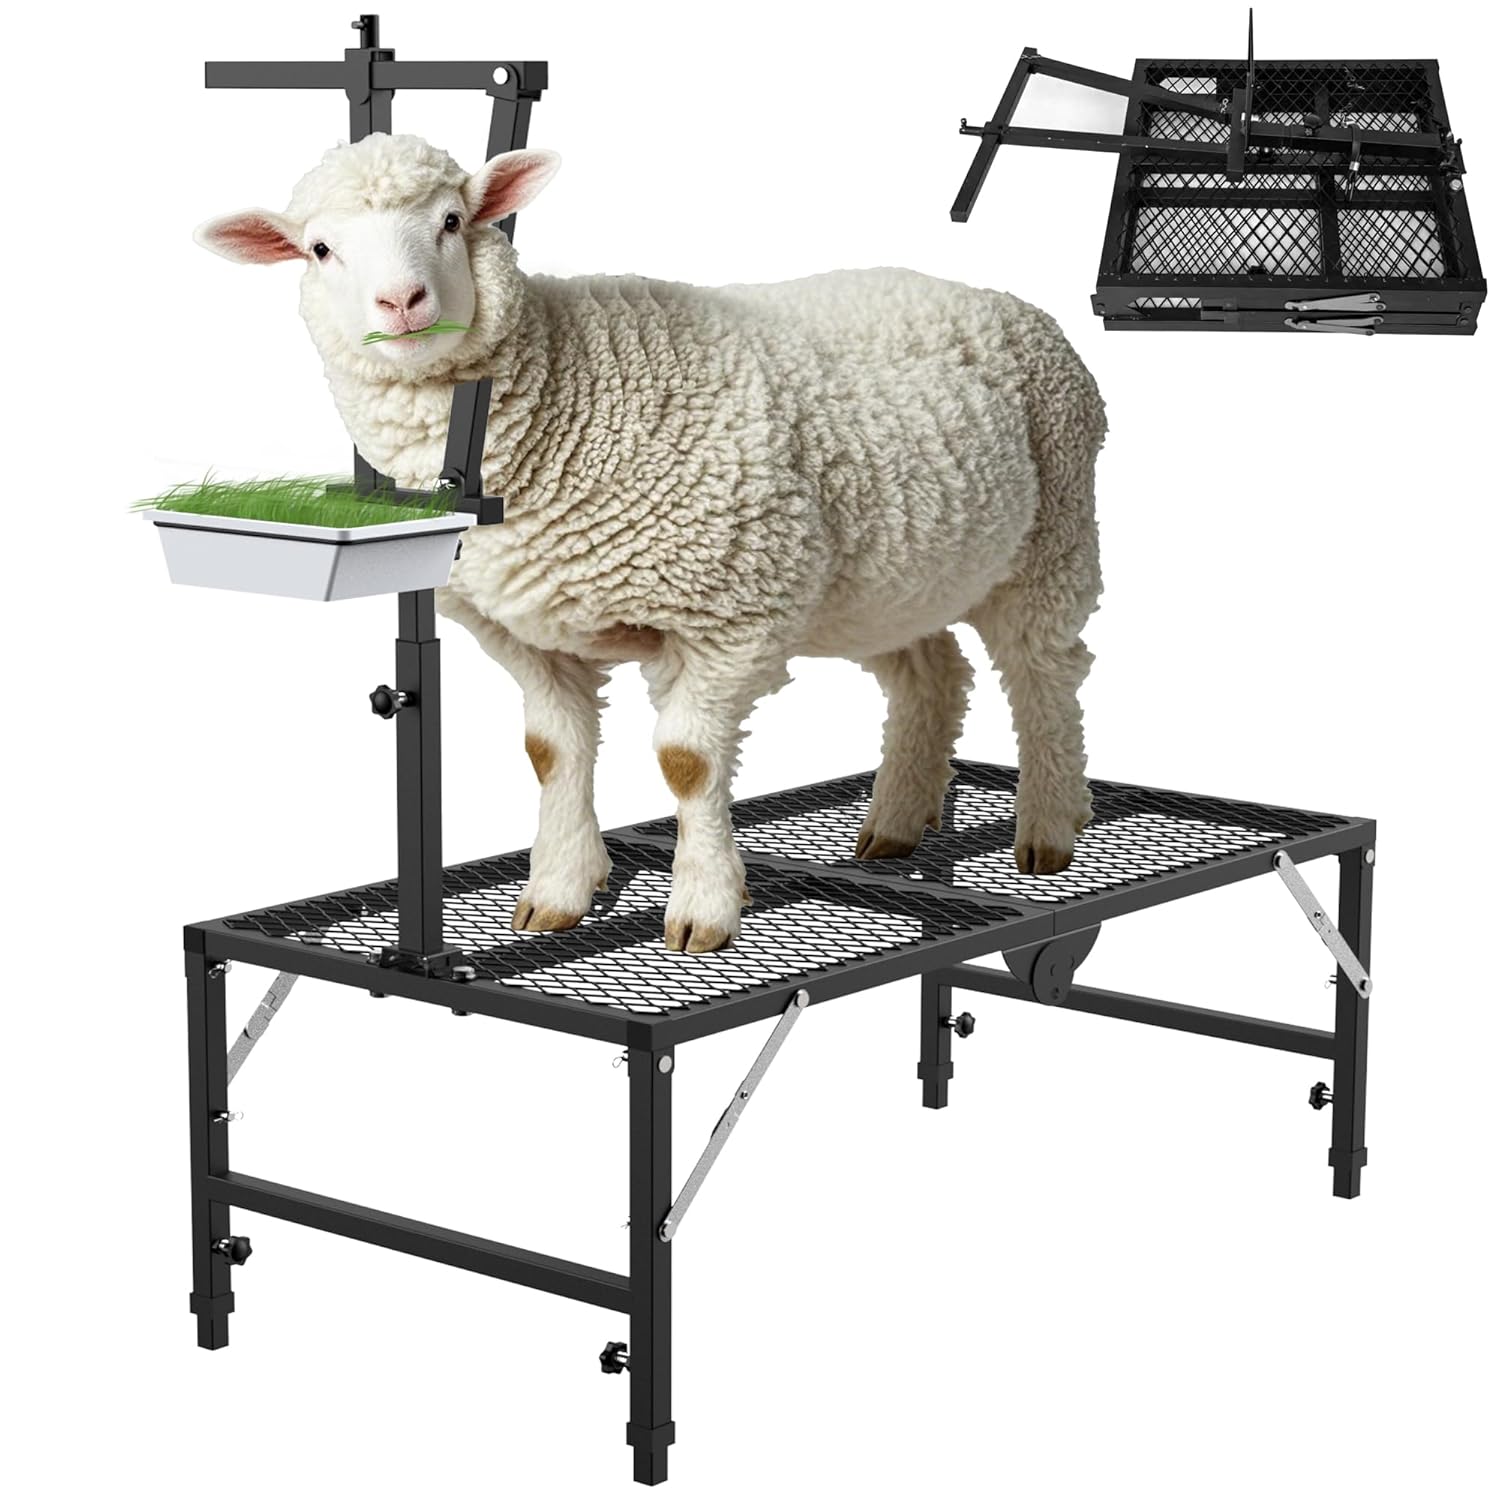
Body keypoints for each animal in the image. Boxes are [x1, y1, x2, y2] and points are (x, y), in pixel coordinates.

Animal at [196, 133, 1106, 953]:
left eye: (452, 220)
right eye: (320, 249)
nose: (402, 304)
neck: (562, 391)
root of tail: (1007, 300)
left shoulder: (729, 612)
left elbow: (685, 764)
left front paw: (703, 910)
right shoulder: (529, 630)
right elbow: (551, 755)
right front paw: (557, 893)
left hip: (1053, 534)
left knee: (1044, 673)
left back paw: (1049, 828)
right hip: (890, 576)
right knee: (933, 674)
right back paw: (895, 824)